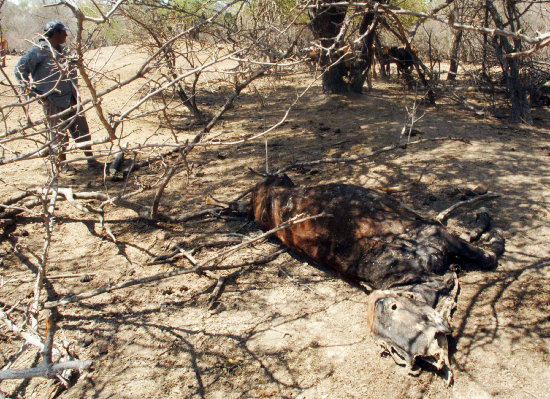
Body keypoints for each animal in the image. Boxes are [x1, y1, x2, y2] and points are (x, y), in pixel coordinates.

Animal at [249, 175, 504, 384]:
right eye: (392, 348)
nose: (425, 359)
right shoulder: (438, 234)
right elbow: (487, 255)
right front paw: (491, 232)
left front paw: (483, 220)